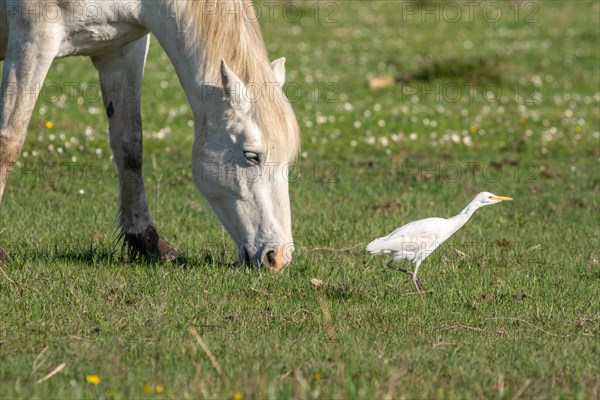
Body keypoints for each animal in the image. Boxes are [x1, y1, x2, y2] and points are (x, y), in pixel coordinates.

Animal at [0, 0, 300, 270]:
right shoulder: (33, 38)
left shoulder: (122, 51)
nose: (278, 257)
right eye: (251, 156)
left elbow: (130, 147)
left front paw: (147, 241)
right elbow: (9, 143)